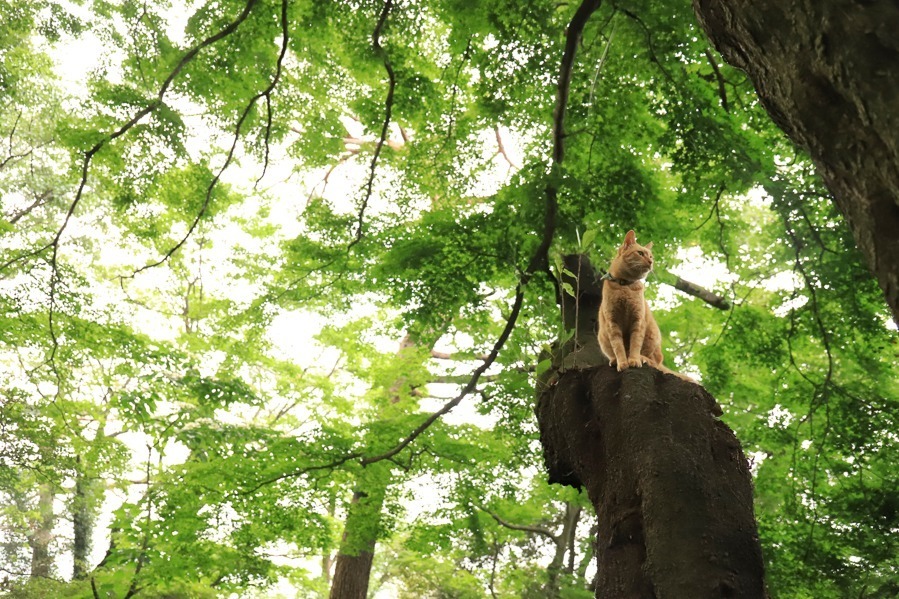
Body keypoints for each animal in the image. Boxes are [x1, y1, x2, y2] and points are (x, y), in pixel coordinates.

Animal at [600, 229, 664, 370]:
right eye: (640, 253)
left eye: (651, 256)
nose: (651, 262)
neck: (625, 285)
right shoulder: (612, 323)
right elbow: (618, 347)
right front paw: (622, 363)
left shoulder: (638, 321)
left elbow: (635, 344)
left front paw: (634, 360)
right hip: (602, 337)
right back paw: (614, 360)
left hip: (653, 337)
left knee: (656, 361)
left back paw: (644, 358)